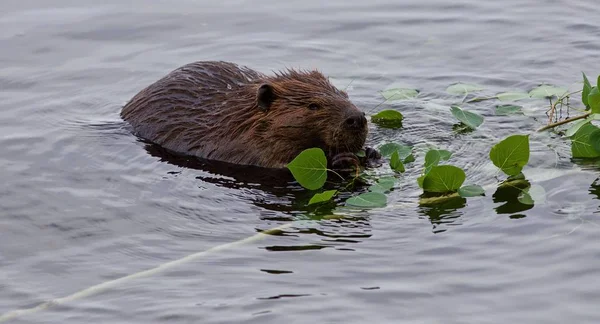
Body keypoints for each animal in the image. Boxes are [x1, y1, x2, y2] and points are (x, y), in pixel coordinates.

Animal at [121, 61, 380, 171]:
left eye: (344, 94)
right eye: (313, 106)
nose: (357, 119)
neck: (240, 120)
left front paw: (371, 153)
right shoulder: (239, 146)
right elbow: (282, 165)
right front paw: (341, 160)